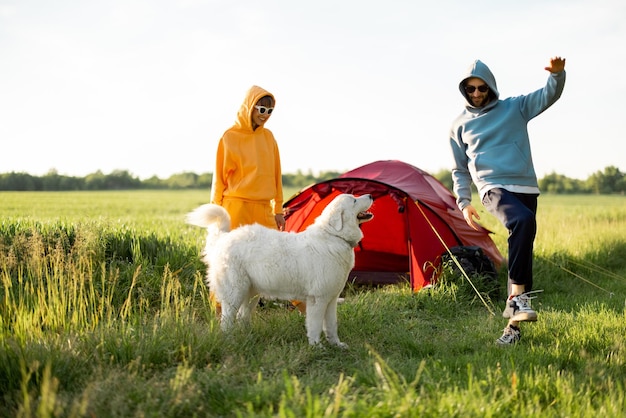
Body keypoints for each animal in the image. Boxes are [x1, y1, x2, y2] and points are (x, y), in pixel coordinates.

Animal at [184, 194, 370, 348]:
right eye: (354, 200)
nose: (370, 195)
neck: (334, 236)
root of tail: (223, 238)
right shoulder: (317, 300)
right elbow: (315, 326)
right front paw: (317, 347)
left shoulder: (330, 300)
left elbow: (331, 326)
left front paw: (336, 345)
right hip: (234, 292)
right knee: (227, 320)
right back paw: (231, 341)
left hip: (251, 293)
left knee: (242, 317)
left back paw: (249, 338)